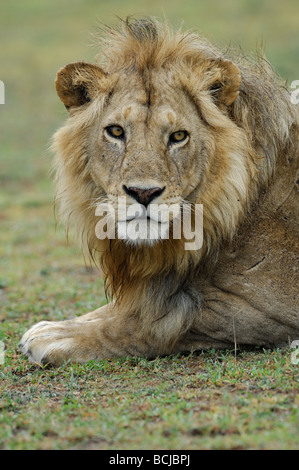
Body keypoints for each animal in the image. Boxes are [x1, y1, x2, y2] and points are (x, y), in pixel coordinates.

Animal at [19, 18, 298, 366]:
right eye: (115, 131)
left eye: (178, 136)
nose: (143, 193)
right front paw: (58, 325)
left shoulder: (261, 304)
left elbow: (148, 322)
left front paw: (58, 338)